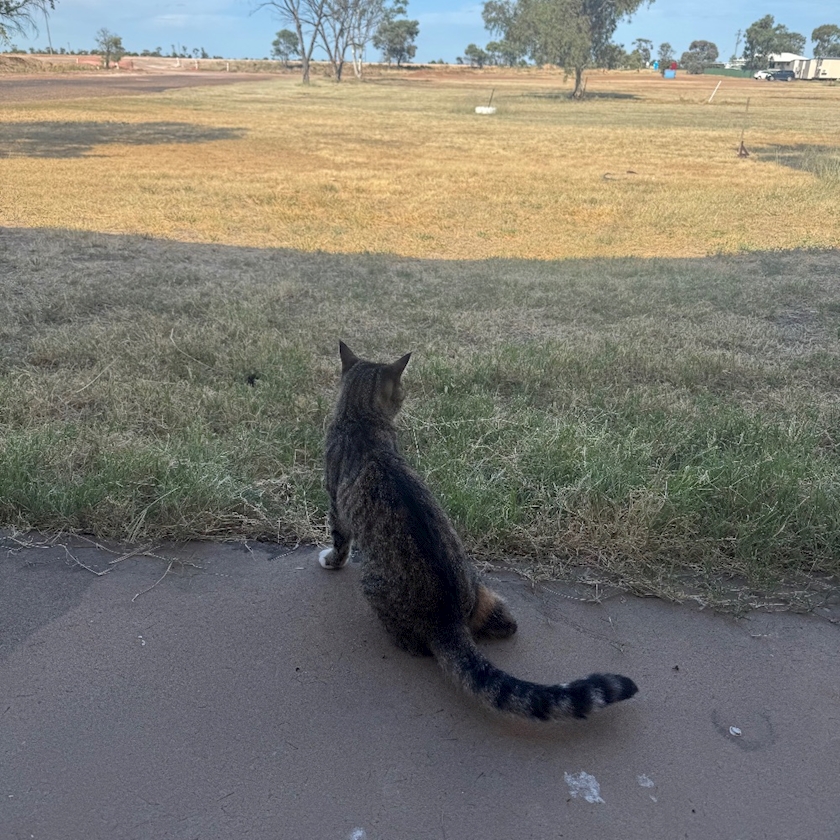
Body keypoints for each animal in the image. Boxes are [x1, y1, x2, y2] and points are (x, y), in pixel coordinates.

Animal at [318, 341, 638, 722]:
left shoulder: (336, 505)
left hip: (374, 586)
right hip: (483, 590)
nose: (406, 398)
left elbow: (339, 542)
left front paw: (330, 560)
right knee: (507, 624)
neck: (361, 418)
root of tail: (449, 618)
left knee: (415, 645)